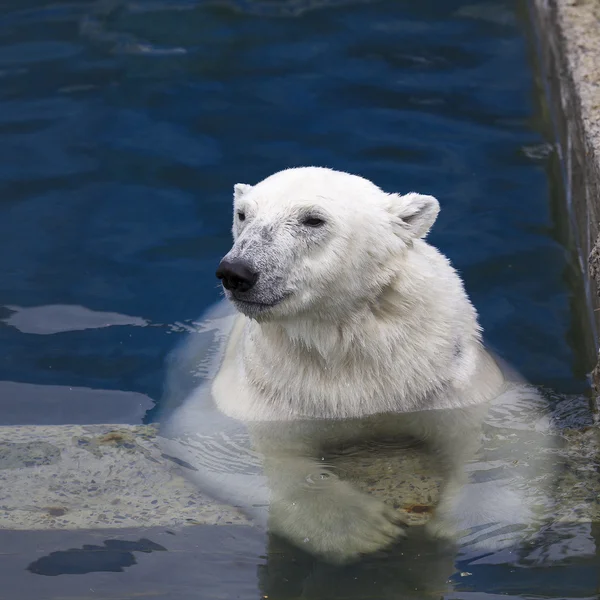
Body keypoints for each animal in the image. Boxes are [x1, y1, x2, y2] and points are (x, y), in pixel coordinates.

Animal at [159, 166, 556, 564]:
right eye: (243, 214)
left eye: (313, 219)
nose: (236, 272)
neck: (348, 345)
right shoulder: (273, 388)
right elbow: (223, 443)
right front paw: (360, 528)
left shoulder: (446, 376)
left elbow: (502, 435)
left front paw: (479, 524)